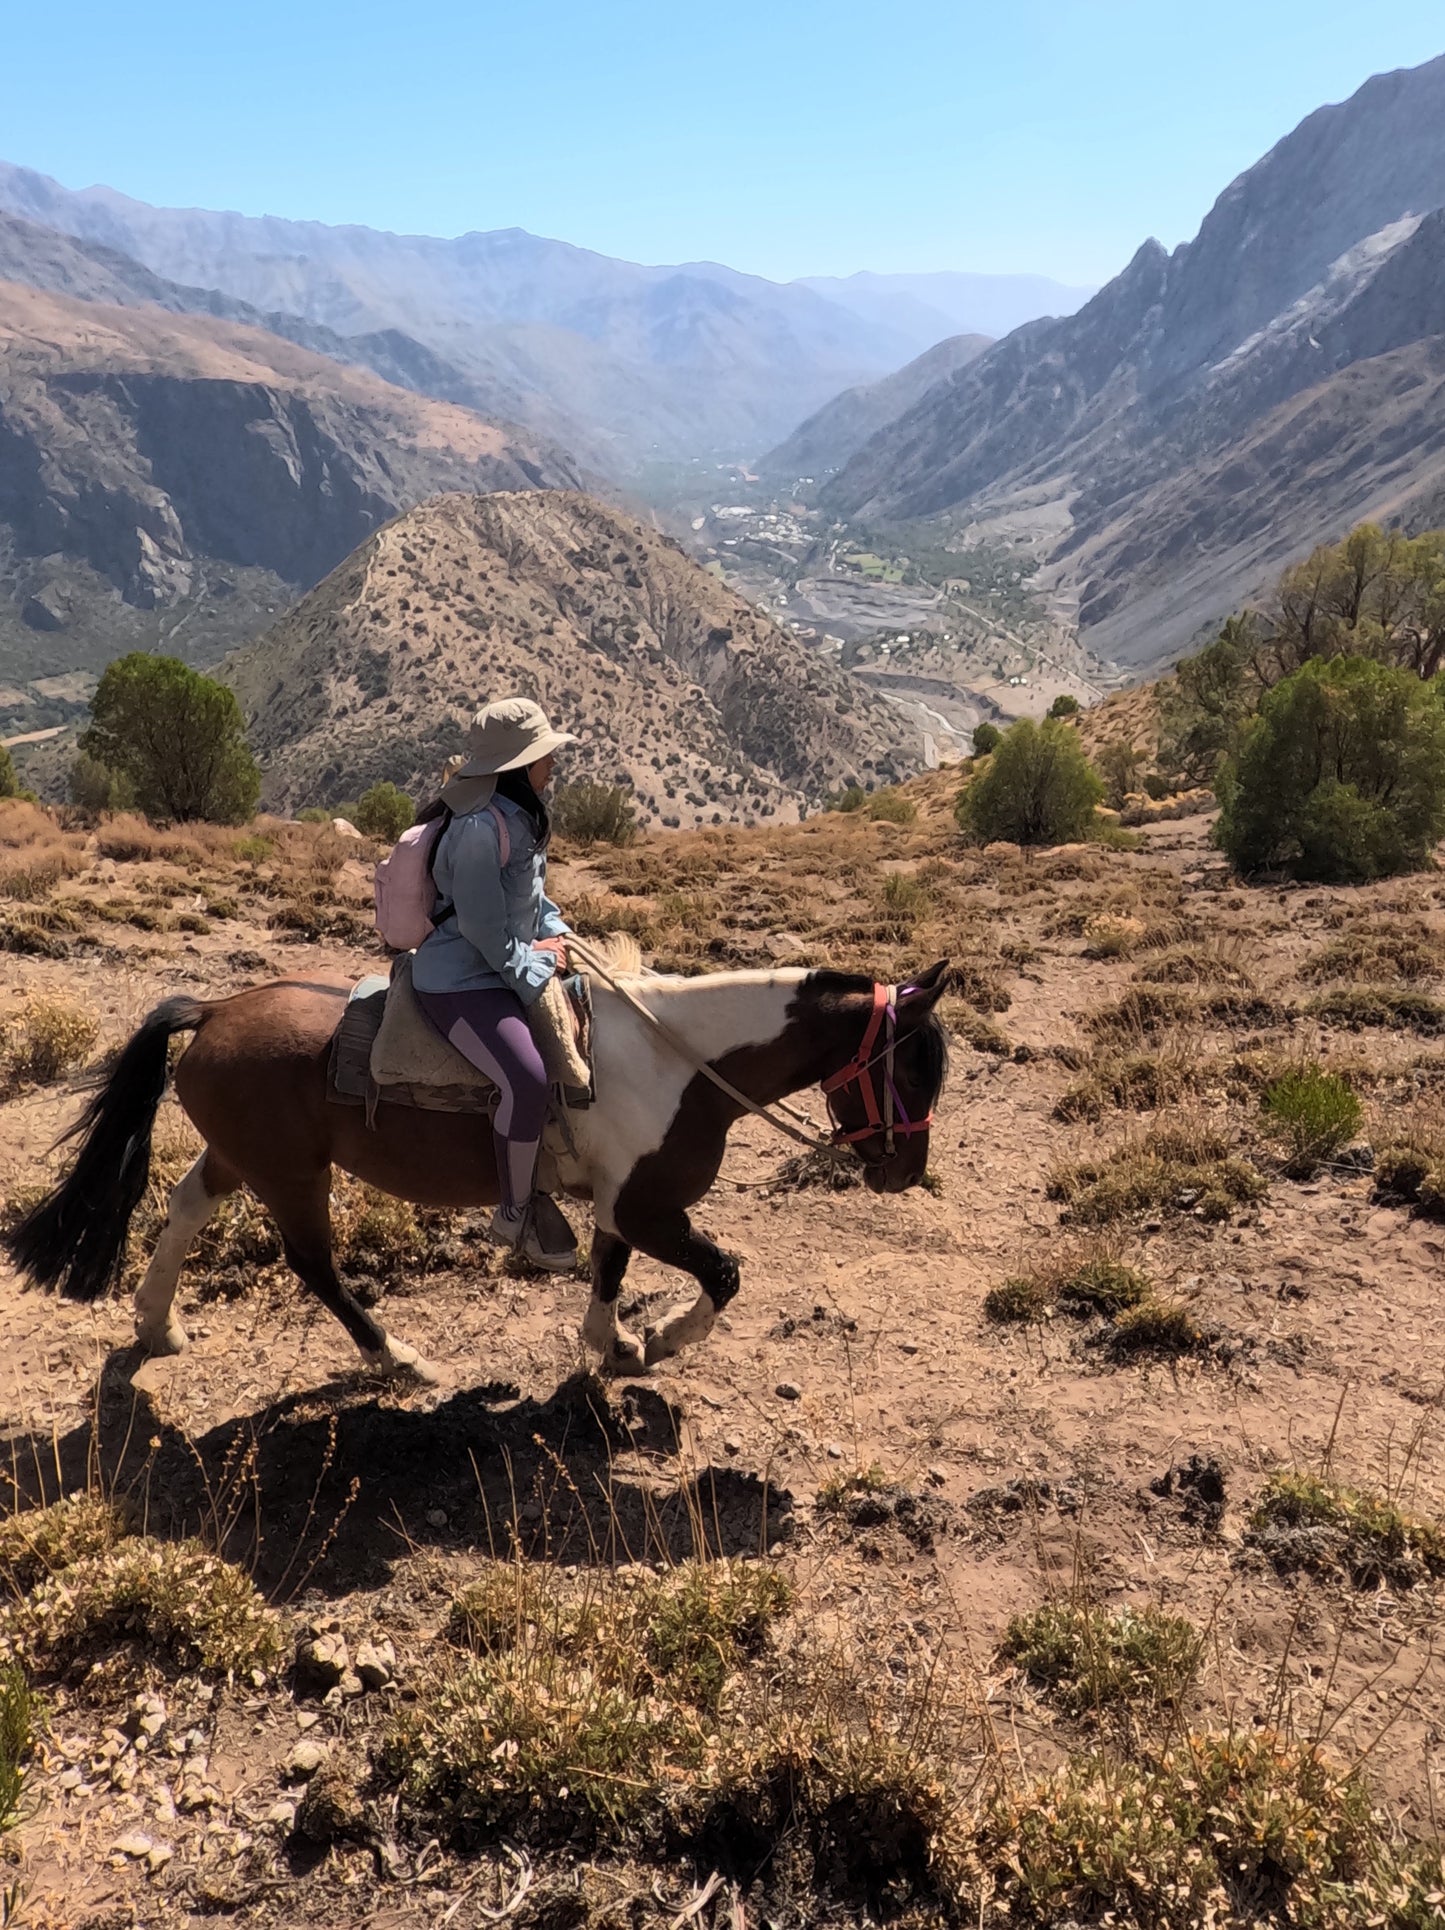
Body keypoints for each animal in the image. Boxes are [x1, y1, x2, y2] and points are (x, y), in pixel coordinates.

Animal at [8, 965, 945, 1389]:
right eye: (913, 1066)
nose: (905, 1172)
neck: (677, 1062)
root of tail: (213, 1011)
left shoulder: (622, 1205)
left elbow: (608, 1271)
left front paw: (610, 1344)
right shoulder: (651, 1208)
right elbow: (722, 1274)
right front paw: (662, 1341)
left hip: (242, 1159)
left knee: (182, 1210)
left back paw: (156, 1325)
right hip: (293, 1174)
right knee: (312, 1263)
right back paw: (396, 1357)